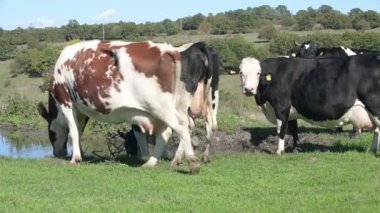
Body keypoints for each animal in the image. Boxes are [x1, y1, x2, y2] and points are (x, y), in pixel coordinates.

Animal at [37, 40, 217, 175]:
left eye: (51, 133)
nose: (57, 153)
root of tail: (169, 50)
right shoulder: (81, 109)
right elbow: (79, 131)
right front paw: (80, 154)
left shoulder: (65, 99)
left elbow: (73, 131)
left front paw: (75, 158)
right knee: (169, 132)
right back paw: (152, 162)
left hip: (162, 106)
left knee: (181, 127)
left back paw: (192, 163)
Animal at [240, 55, 380, 155]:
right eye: (241, 72)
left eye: (258, 73)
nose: (249, 89)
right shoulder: (292, 111)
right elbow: (294, 130)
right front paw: (296, 149)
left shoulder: (281, 106)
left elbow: (281, 129)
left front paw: (279, 151)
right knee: (377, 130)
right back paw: (372, 150)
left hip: (375, 107)